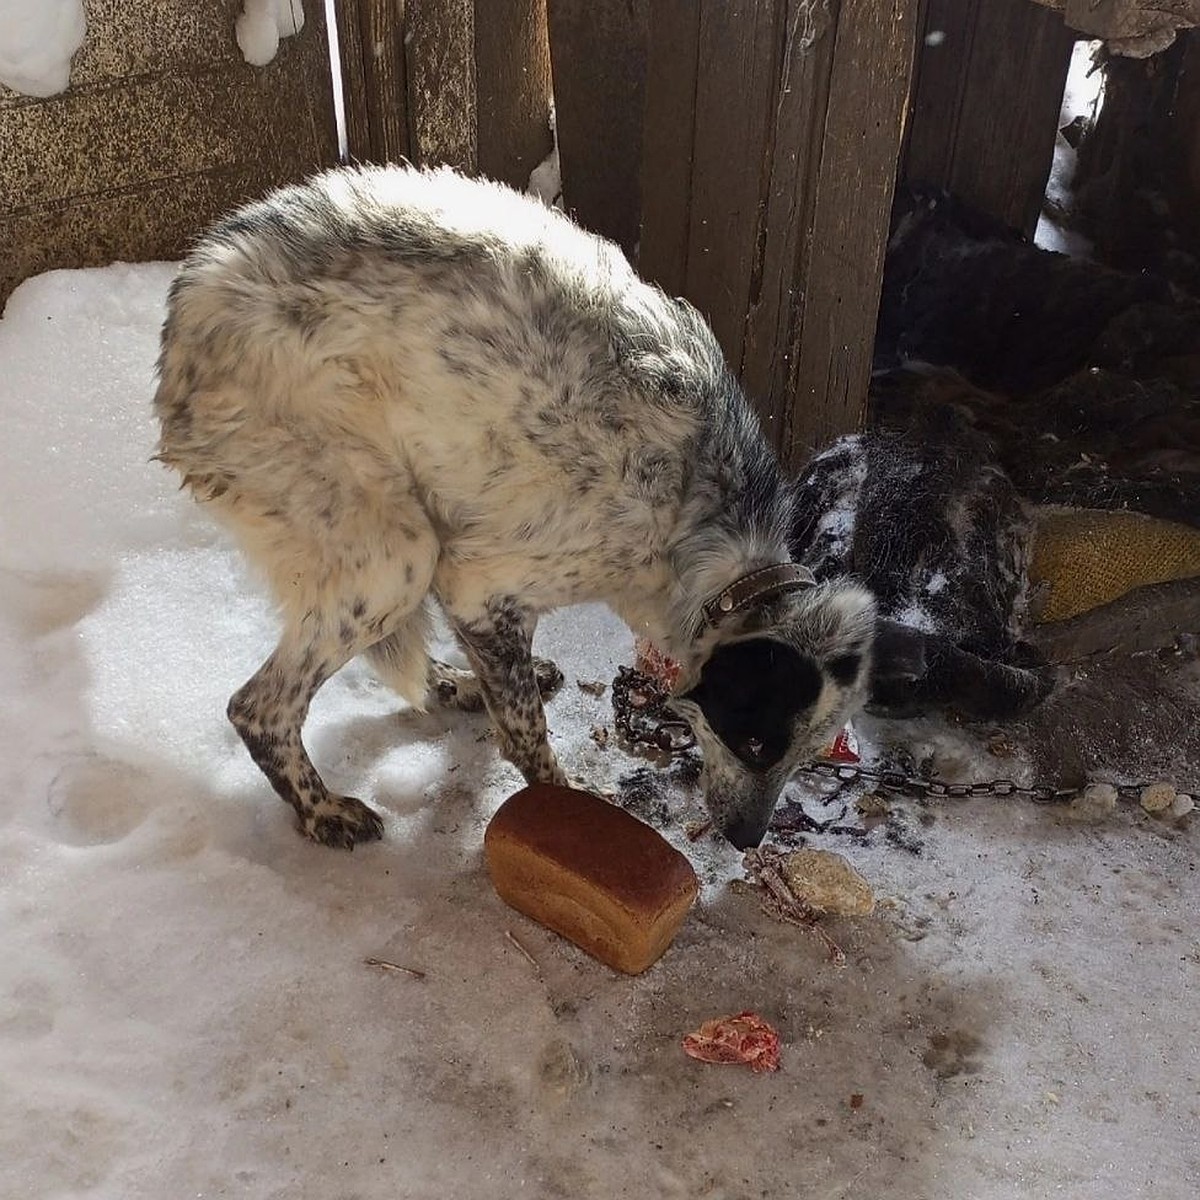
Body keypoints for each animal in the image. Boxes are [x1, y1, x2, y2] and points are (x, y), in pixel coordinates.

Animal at [154, 164, 878, 849]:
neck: (702, 518)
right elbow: (528, 728)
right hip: (393, 552)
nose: (746, 840)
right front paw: (572, 809)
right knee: (259, 707)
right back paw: (323, 810)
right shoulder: (478, 582)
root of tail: (194, 289)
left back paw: (453, 685)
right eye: (753, 742)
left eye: (810, 754)